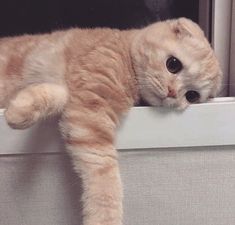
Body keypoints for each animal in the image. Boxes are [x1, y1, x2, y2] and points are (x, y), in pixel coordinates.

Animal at [0, 18, 221, 225]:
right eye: (173, 64)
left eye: (192, 96)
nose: (172, 93)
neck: (126, 51)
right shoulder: (90, 113)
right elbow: (106, 180)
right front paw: (106, 219)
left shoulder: (79, 101)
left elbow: (58, 94)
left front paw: (19, 109)